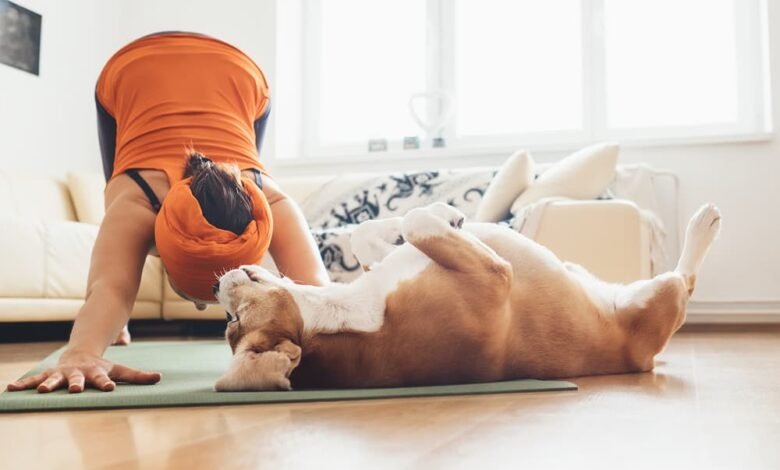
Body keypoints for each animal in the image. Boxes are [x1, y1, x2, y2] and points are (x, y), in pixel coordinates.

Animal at [212, 202, 720, 390]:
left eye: (231, 321)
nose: (216, 285)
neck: (347, 314)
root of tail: (645, 360)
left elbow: (370, 233)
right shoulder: (495, 277)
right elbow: (416, 221)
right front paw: (444, 210)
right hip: (660, 298)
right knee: (685, 280)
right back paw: (703, 224)